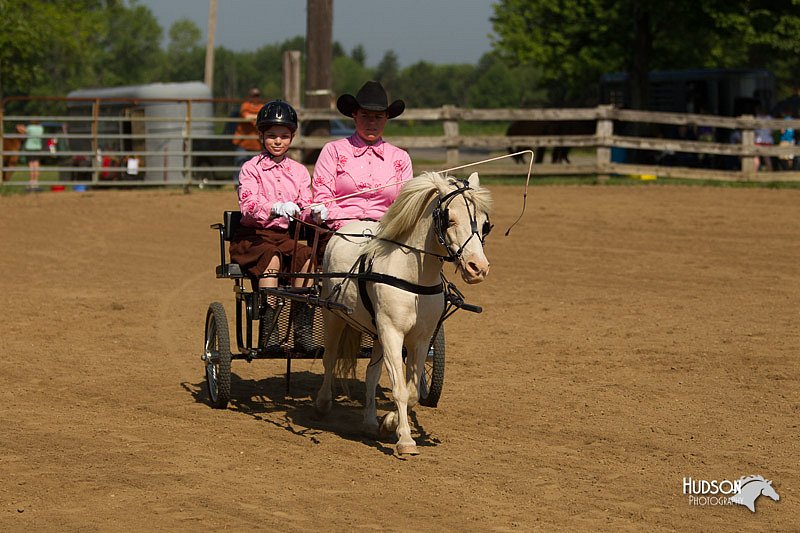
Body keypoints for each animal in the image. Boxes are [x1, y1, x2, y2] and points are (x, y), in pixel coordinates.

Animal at [316, 170, 490, 454]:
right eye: (449, 219)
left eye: (485, 224)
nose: (478, 267)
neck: (413, 276)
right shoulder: (392, 332)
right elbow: (398, 387)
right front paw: (405, 440)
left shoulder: (420, 338)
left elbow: (412, 392)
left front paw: (389, 422)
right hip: (334, 316)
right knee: (329, 358)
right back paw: (323, 403)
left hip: (376, 332)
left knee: (371, 373)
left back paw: (369, 422)